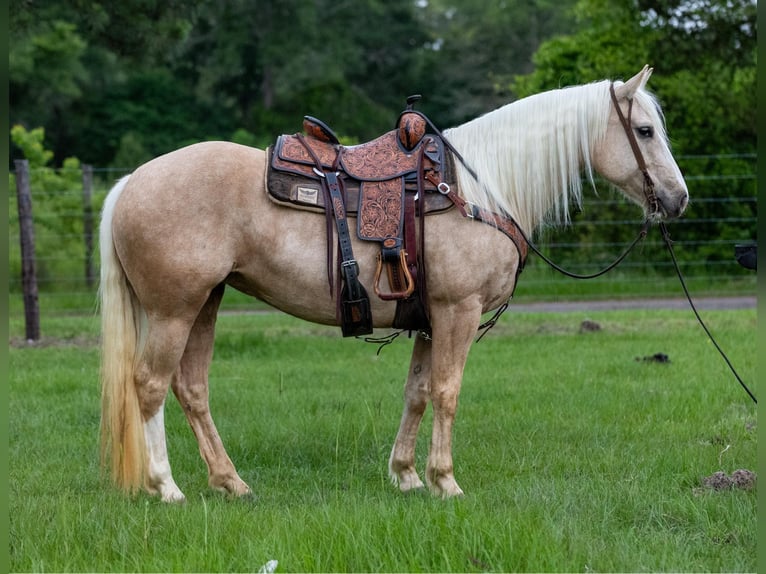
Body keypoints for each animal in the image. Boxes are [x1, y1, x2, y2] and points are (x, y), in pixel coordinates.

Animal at [99, 66, 688, 502]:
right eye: (644, 131)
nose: (678, 198)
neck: (480, 189)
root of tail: (131, 181)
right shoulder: (458, 311)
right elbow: (448, 391)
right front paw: (445, 481)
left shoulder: (428, 319)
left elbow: (419, 392)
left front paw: (406, 475)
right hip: (175, 310)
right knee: (150, 385)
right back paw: (166, 486)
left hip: (205, 303)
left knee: (191, 388)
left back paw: (230, 482)